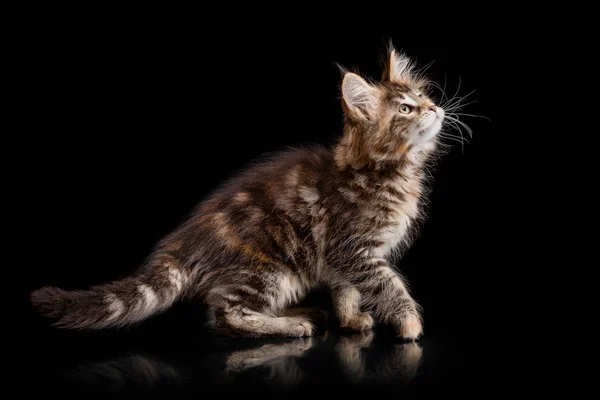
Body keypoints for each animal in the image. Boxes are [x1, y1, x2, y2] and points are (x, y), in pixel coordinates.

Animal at [31, 47, 454, 340]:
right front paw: (410, 325)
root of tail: (183, 243)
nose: (436, 108)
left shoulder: (344, 259)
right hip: (268, 266)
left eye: (423, 96)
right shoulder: (355, 250)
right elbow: (389, 287)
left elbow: (345, 291)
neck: (386, 171)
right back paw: (290, 325)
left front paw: (350, 320)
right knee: (225, 314)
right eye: (406, 108)